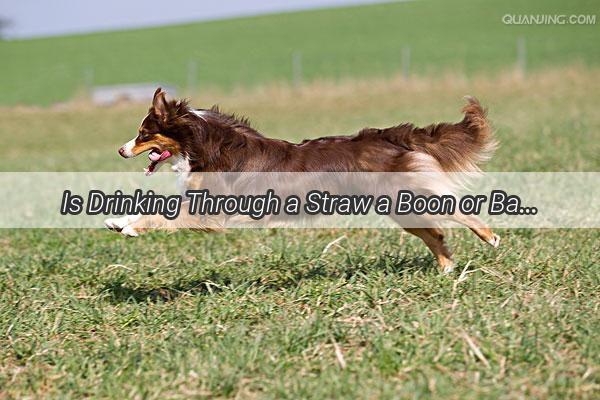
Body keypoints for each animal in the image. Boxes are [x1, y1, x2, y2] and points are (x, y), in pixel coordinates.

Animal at [105, 88, 500, 274]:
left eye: (143, 134)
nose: (121, 150)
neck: (202, 142)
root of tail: (391, 135)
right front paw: (117, 220)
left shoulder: (210, 211)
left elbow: (163, 213)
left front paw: (131, 227)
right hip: (398, 207)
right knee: (434, 233)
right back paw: (447, 271)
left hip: (406, 195)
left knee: (454, 211)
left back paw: (489, 237)